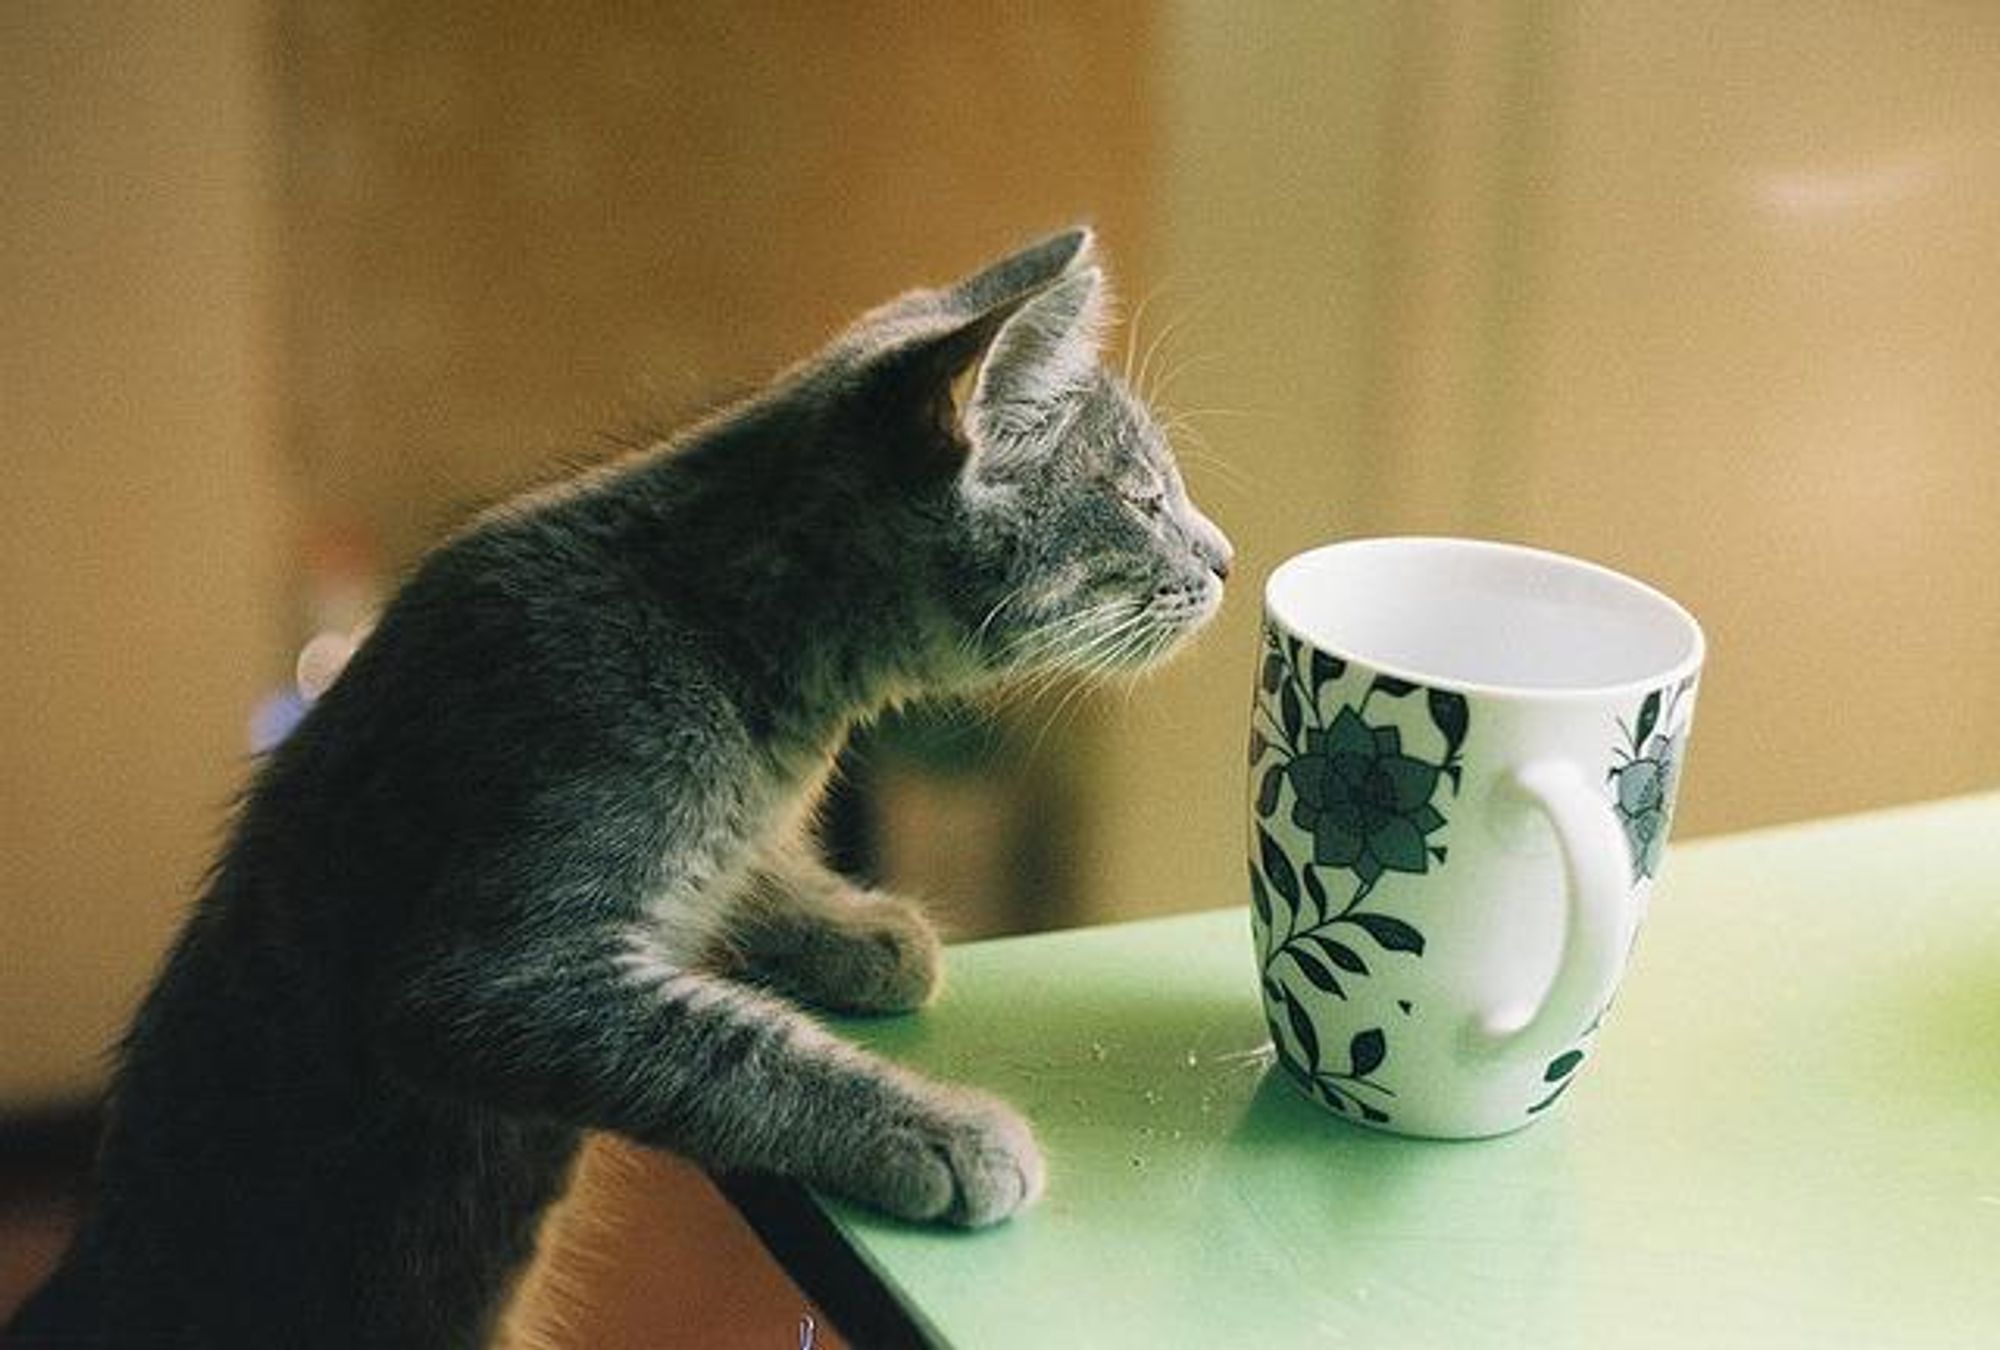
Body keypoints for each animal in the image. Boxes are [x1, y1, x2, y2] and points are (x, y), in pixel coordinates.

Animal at [7, 227, 1232, 1344]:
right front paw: (935, 1131)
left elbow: (741, 874)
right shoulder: (490, 972)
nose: (1222, 556)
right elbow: (733, 1048)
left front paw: (854, 929)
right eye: (1141, 499)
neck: (737, 638)